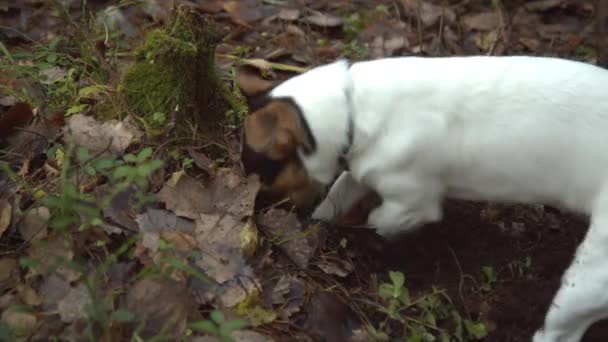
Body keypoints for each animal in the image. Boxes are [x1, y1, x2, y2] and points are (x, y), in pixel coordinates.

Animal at [240, 56, 608, 342]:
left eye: (261, 173)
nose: (259, 212)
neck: (352, 108)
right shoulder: (359, 174)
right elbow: (335, 198)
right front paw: (319, 228)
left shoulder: (411, 204)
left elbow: (378, 223)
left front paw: (366, 244)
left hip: (586, 281)